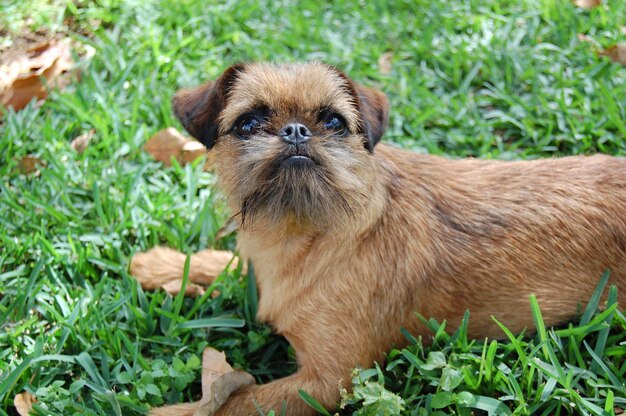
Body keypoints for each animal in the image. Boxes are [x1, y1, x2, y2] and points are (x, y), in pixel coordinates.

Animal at [136, 63, 624, 414]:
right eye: (248, 123)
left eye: (334, 121)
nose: (295, 130)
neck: (302, 234)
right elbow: (227, 263)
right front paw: (162, 264)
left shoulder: (326, 382)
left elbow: (233, 404)